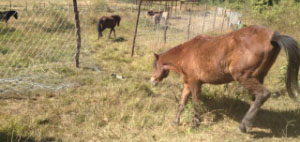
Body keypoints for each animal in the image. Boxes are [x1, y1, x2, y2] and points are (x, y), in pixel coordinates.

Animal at [150, 25, 300, 133]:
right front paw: (175, 122)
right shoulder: (188, 84)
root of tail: (273, 37)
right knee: (256, 98)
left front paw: (195, 124)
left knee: (263, 94)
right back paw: (248, 124)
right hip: (258, 77)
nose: (152, 80)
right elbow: (181, 104)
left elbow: (196, 104)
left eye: (155, 65)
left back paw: (243, 126)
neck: (186, 53)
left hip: (244, 77)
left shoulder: (195, 83)